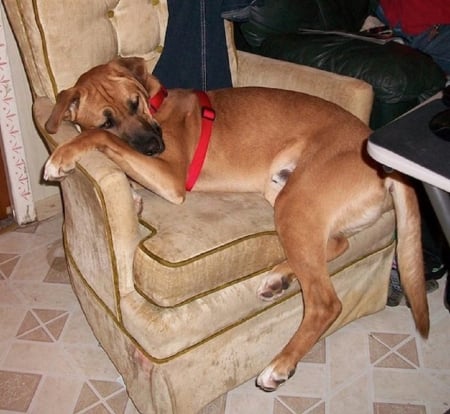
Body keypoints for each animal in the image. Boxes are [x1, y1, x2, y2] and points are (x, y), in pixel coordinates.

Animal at [44, 57, 428, 392]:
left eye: (134, 103)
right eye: (107, 120)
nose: (155, 145)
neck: (157, 102)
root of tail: (389, 168)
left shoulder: (171, 179)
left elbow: (100, 143)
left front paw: (61, 156)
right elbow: (115, 154)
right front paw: (133, 196)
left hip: (294, 205)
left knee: (326, 301)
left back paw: (280, 365)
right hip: (285, 196)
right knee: (336, 246)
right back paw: (279, 277)